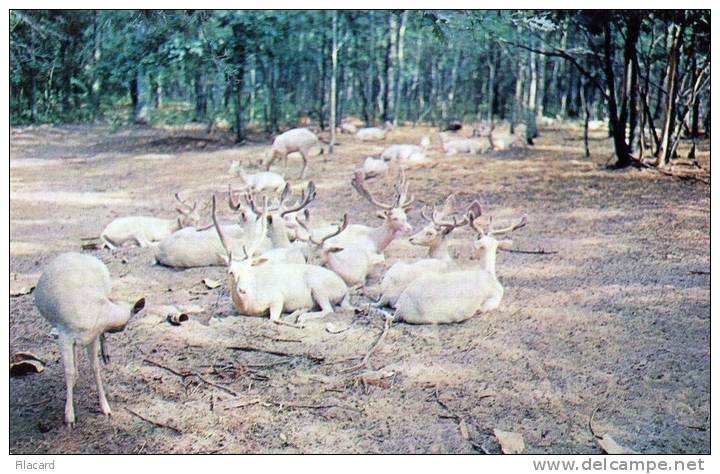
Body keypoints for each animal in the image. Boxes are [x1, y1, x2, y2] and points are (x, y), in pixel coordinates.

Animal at [34, 254, 145, 428]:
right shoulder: (65, 336)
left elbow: (95, 368)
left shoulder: (92, 337)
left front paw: (106, 409)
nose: (121, 328)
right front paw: (70, 418)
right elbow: (69, 371)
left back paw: (106, 356)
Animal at [210, 193, 352, 326]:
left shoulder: (277, 298)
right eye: (231, 272)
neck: (247, 304)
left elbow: (274, 319)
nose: (243, 289)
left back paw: (301, 316)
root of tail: (344, 288)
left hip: (319, 288)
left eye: (250, 269)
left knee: (328, 309)